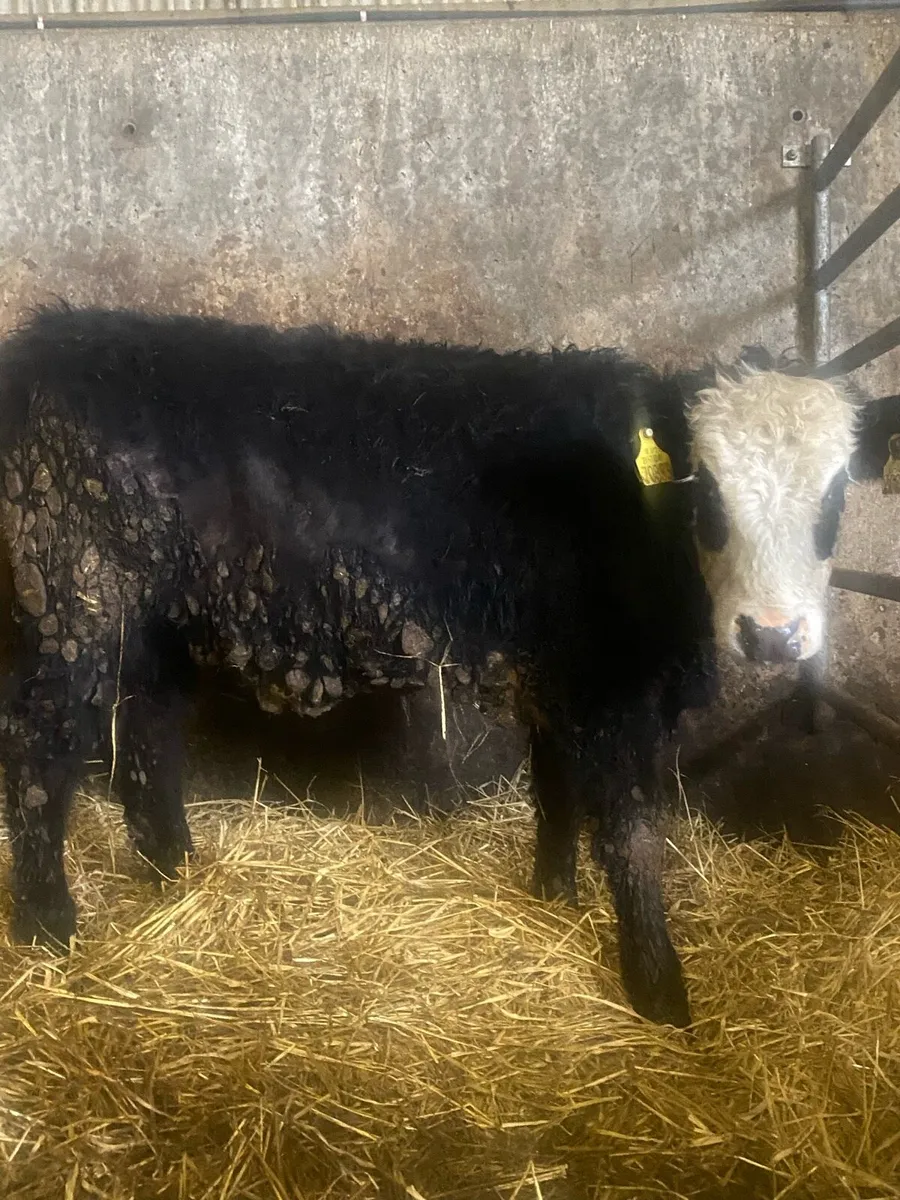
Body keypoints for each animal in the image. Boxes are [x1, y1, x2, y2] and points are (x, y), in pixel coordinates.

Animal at [0, 305, 876, 1027]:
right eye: (708, 494)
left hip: (153, 623)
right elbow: (629, 833)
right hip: (71, 604)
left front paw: (553, 898)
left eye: (836, 498)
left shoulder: (559, 671)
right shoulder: (606, 684)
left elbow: (556, 792)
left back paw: (174, 871)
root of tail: (43, 342)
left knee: (145, 737)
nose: (774, 637)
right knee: (38, 758)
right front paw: (660, 992)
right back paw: (50, 927)